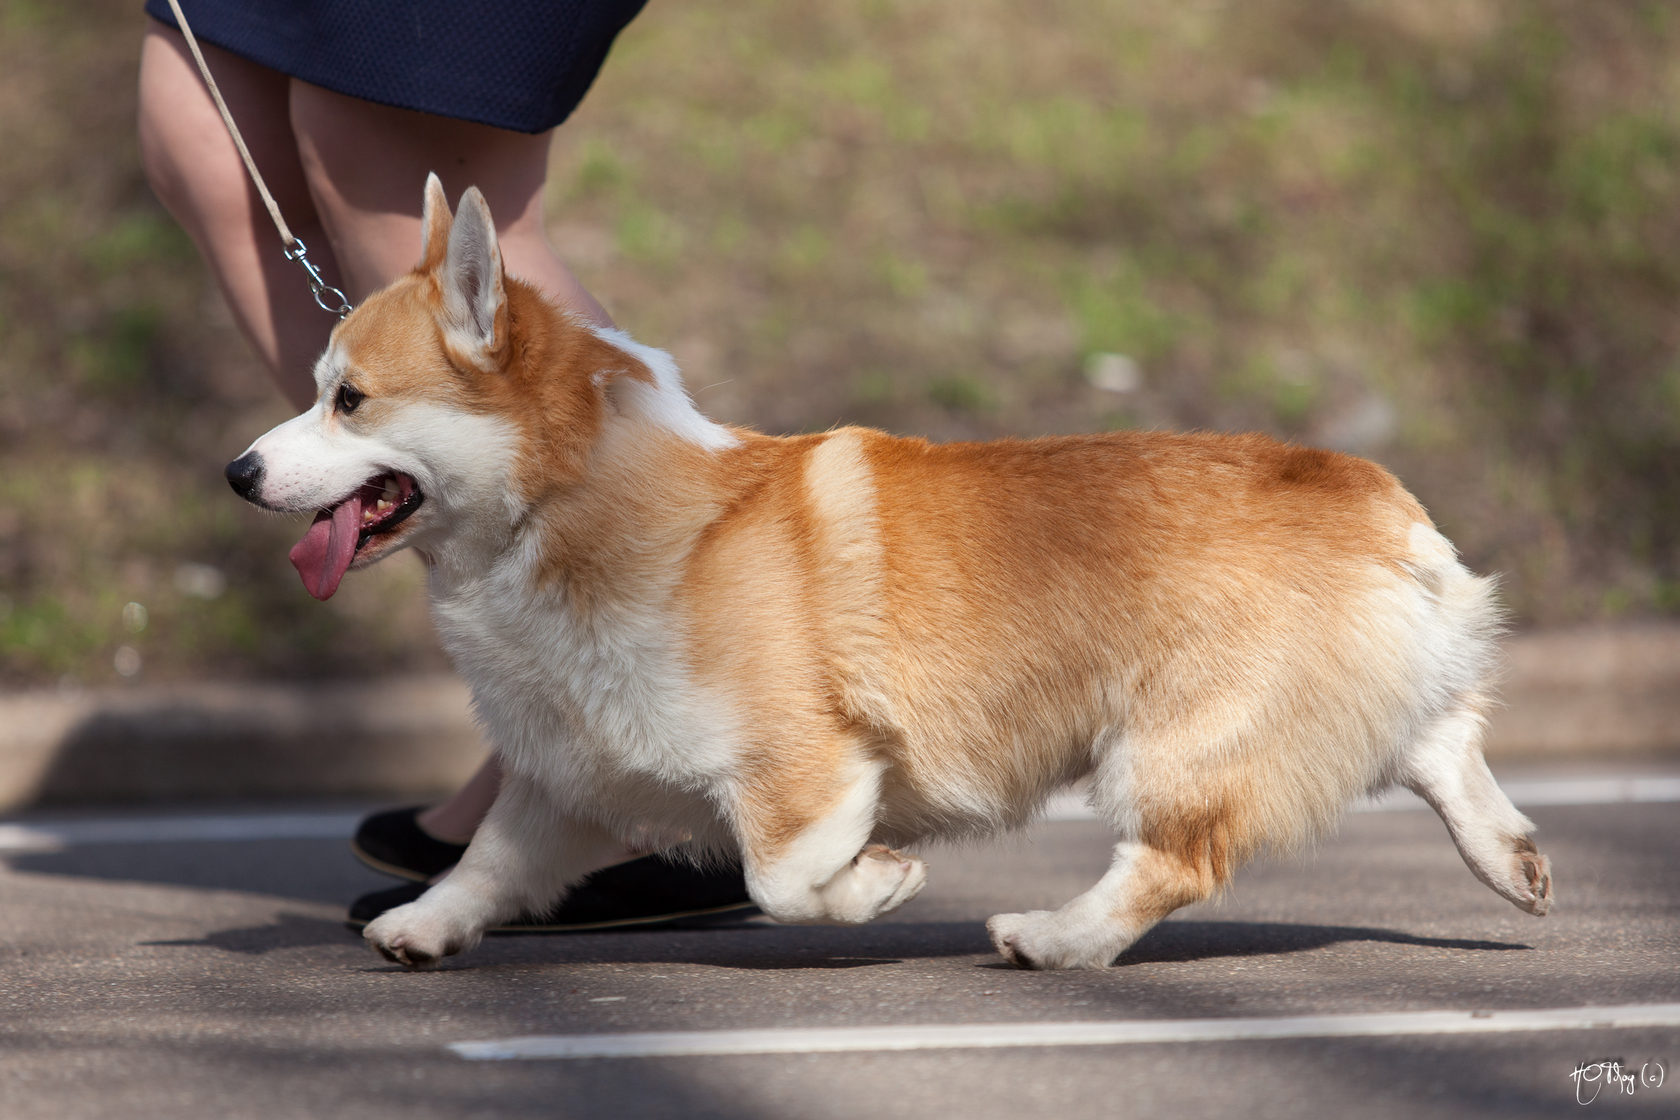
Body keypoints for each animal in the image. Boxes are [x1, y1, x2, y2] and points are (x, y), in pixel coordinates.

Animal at [230, 177, 1552, 973]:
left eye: (350, 401)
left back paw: (1051, 937)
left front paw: (880, 886)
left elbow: (778, 876)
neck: (567, 502)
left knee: (1173, 859)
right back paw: (1512, 858)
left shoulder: (800, 764)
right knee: (1444, 747)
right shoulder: (571, 767)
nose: (237, 471)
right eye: (318, 388)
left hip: (1173, 740)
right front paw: (422, 926)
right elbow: (493, 861)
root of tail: (1372, 493)